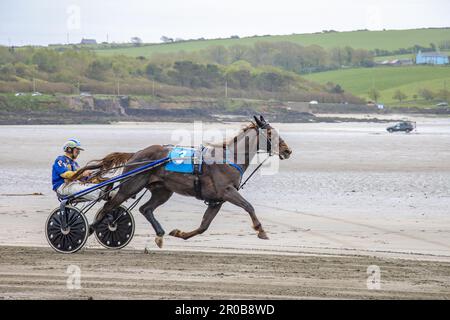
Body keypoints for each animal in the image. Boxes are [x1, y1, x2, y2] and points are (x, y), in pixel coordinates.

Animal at [72, 116, 294, 249]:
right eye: (271, 133)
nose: (287, 150)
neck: (228, 157)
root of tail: (137, 153)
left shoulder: (217, 200)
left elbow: (204, 225)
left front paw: (180, 233)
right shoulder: (227, 191)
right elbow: (248, 206)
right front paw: (261, 230)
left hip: (162, 190)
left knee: (145, 208)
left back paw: (159, 234)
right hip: (130, 186)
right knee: (108, 206)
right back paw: (90, 228)